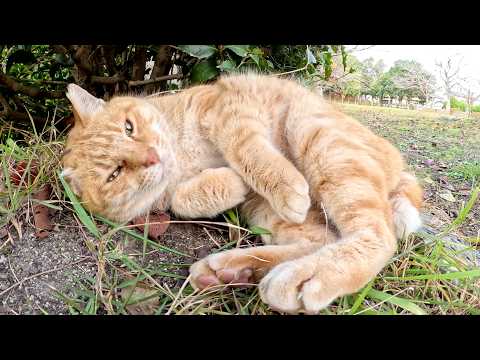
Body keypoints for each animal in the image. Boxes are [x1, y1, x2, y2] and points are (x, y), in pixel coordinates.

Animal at [62, 74, 422, 316]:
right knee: (322, 241)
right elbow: (182, 198)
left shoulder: (227, 110)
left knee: (379, 237)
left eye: (129, 127)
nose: (152, 157)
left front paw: (282, 184)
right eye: (115, 173)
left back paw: (305, 276)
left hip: (321, 139)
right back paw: (234, 271)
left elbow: (246, 150)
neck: (181, 157)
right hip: (267, 212)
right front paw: (229, 182)